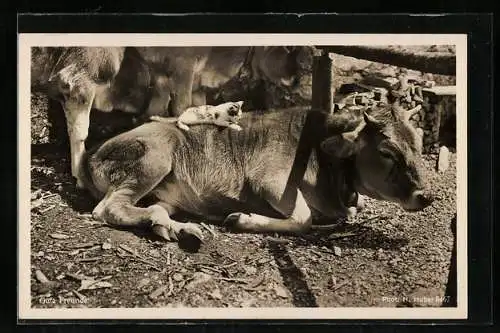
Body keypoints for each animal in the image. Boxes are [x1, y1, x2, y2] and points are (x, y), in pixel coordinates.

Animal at [30, 45, 312, 188]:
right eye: (289, 51)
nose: (299, 79)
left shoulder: (167, 74)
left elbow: (172, 109)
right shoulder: (182, 65)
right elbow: (181, 107)